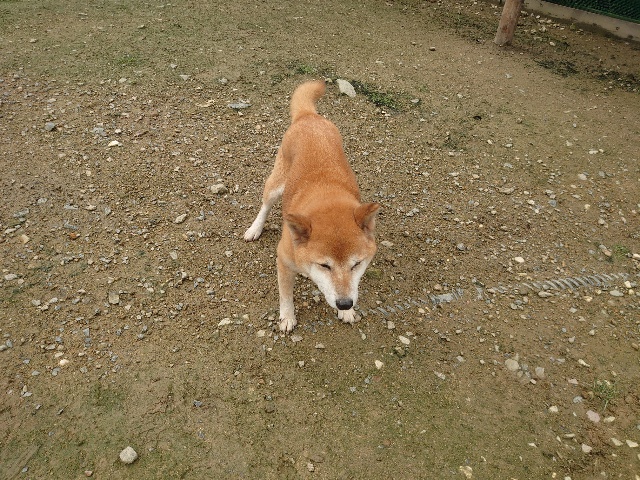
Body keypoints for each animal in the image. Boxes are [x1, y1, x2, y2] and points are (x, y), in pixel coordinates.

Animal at [244, 80, 380, 333]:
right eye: (324, 265)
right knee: (265, 205)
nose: (345, 303)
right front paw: (287, 318)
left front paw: (347, 313)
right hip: (276, 185)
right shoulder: (283, 262)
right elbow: (285, 296)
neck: (327, 198)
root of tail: (308, 116)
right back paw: (254, 229)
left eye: (356, 264)